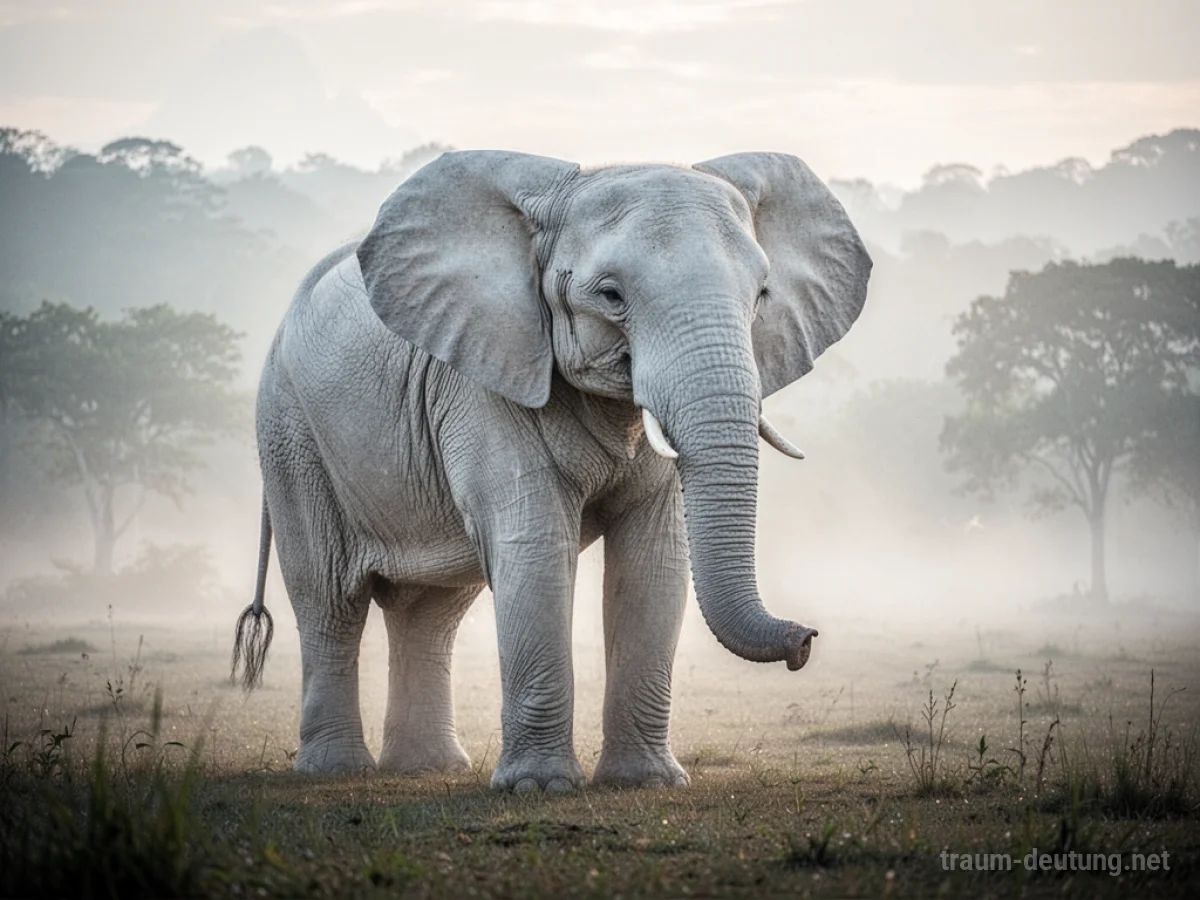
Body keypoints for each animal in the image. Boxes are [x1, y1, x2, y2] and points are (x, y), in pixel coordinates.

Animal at [231, 150, 871, 791]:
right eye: (610, 295)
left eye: (762, 294)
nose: (805, 640)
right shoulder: (486, 377)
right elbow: (535, 545)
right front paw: (539, 788)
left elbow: (654, 558)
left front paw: (646, 783)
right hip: (290, 433)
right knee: (329, 599)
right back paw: (334, 771)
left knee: (431, 611)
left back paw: (427, 766)